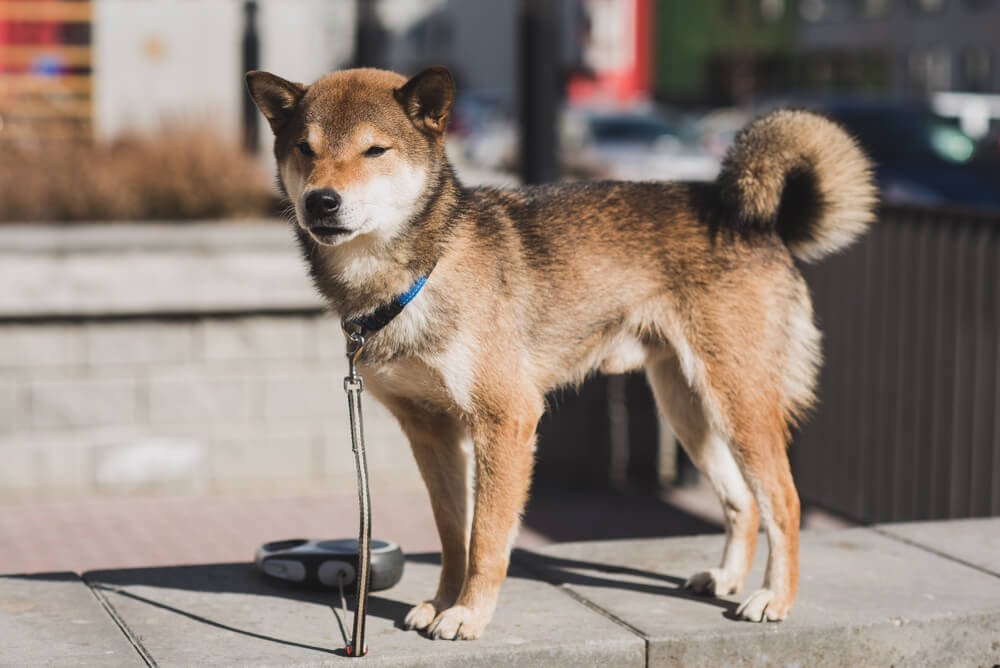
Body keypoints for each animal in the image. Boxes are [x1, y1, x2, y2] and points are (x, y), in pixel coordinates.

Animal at [248, 65, 876, 640]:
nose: (321, 201)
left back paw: (774, 598)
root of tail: (751, 220)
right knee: (742, 501)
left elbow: (486, 538)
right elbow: (452, 536)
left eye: (374, 150)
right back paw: (725, 578)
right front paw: (443, 600)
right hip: (688, 409)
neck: (418, 272)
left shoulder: (506, 420)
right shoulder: (431, 430)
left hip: (737, 401)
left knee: (784, 502)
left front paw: (468, 614)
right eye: (305, 149)